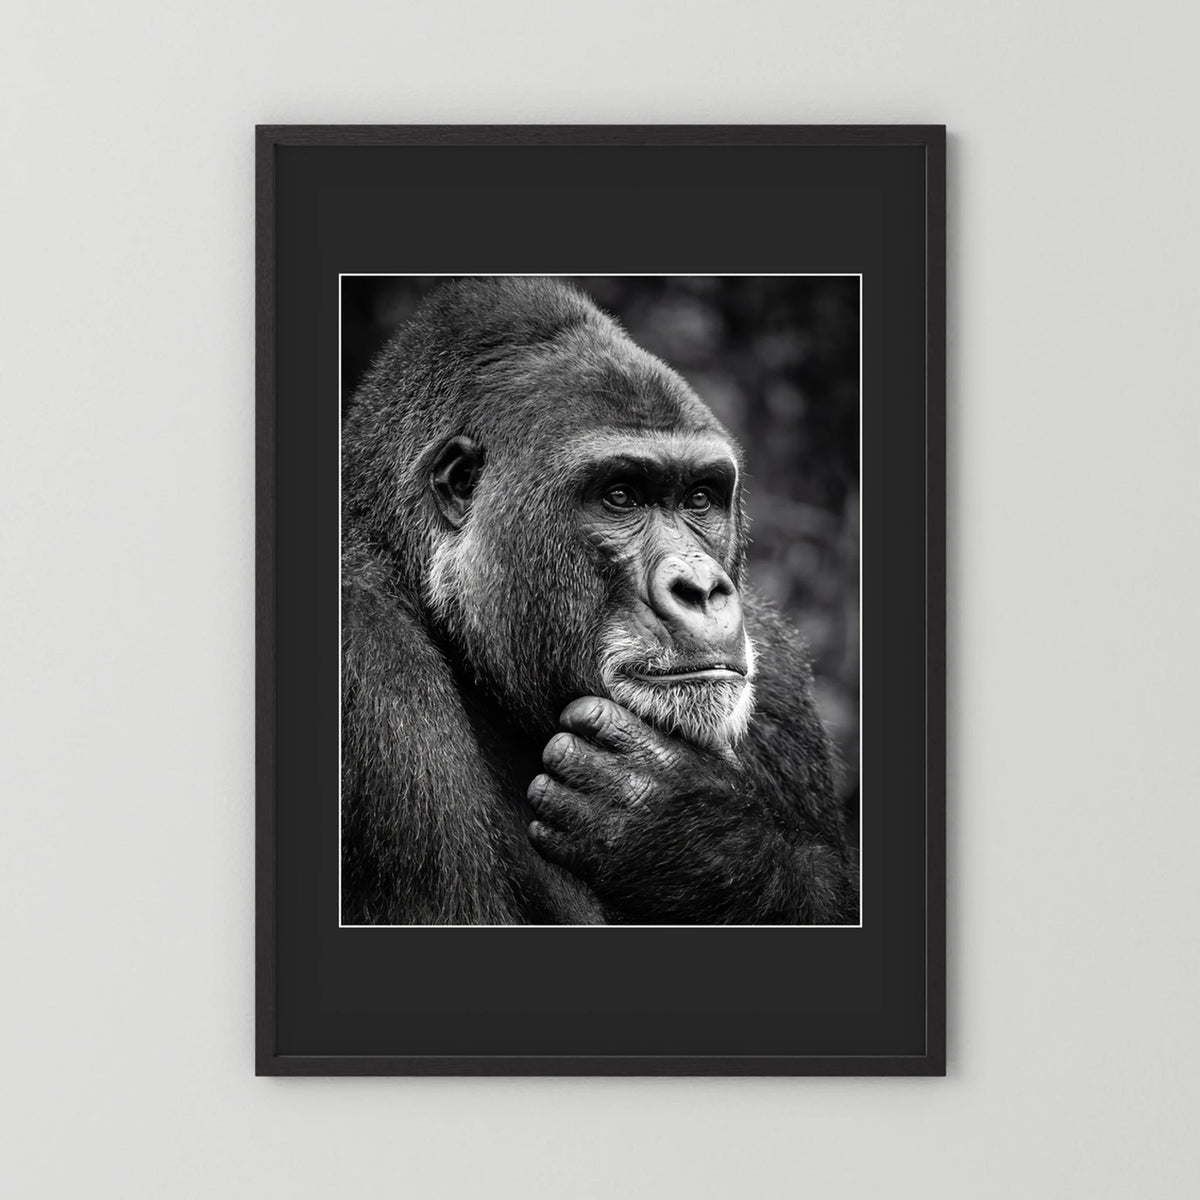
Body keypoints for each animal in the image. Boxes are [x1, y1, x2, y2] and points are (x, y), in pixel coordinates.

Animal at [341, 276, 858, 925]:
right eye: (620, 496)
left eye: (700, 497)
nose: (702, 590)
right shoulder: (367, 659)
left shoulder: (780, 675)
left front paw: (694, 832)